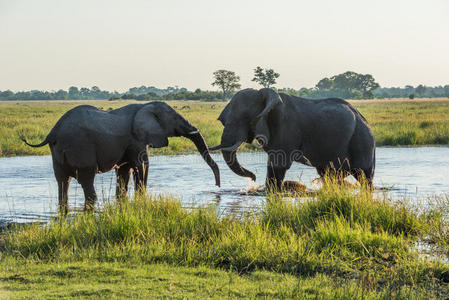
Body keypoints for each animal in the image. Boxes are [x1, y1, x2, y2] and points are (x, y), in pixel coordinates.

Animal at [21, 102, 220, 214]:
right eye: (175, 119)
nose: (217, 185)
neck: (144, 106)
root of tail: (53, 132)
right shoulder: (137, 139)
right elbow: (142, 165)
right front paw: (141, 199)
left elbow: (124, 170)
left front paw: (122, 201)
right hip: (80, 147)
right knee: (87, 176)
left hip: (57, 152)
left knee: (62, 180)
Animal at [210, 87, 374, 190]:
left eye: (244, 118)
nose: (253, 178)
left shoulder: (285, 126)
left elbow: (277, 165)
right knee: (329, 174)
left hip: (362, 138)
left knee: (364, 174)